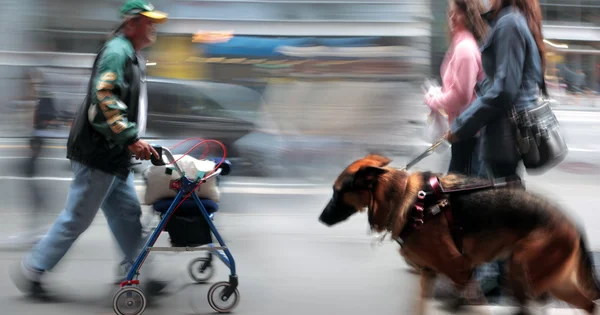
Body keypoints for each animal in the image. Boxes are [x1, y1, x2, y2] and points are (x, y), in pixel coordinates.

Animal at [322, 156, 600, 315]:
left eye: (337, 192)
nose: (320, 219)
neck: (402, 198)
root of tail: (574, 225)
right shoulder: (428, 276)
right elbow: (417, 308)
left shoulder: (460, 271)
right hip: (553, 281)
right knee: (589, 304)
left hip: (524, 274)